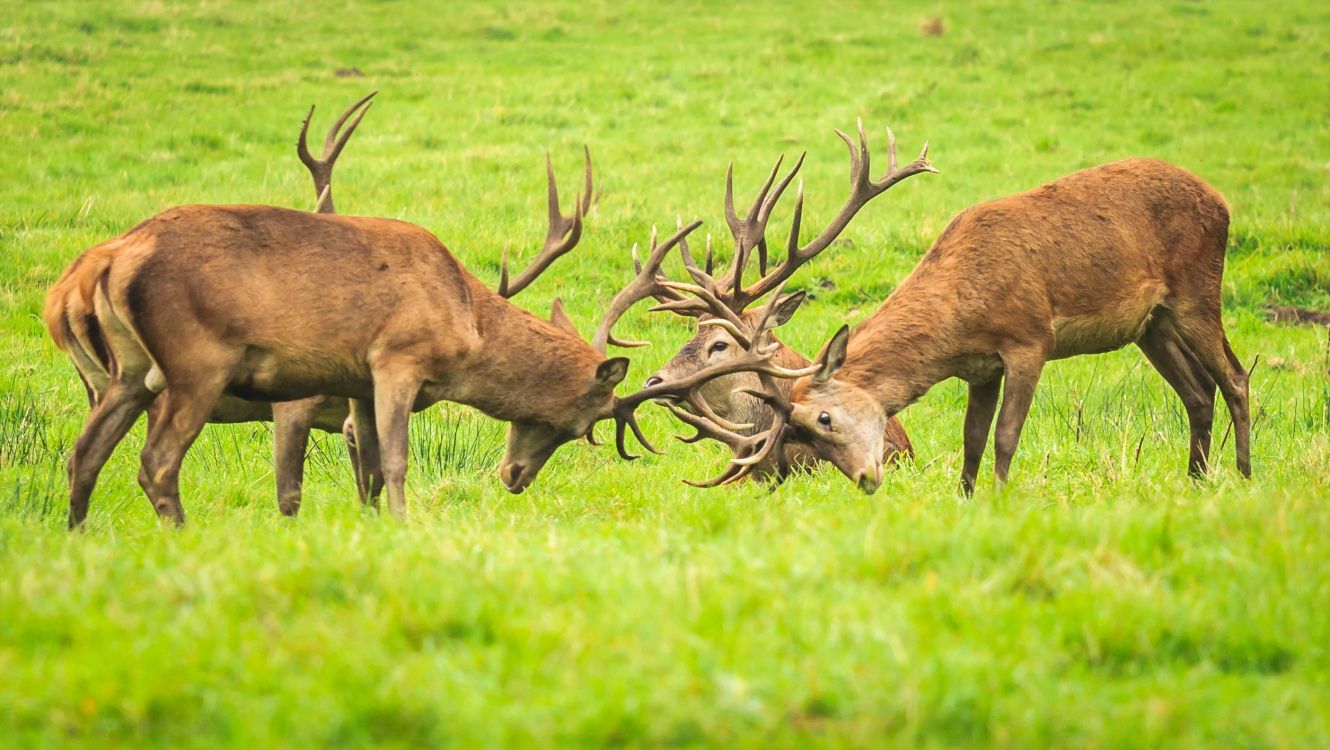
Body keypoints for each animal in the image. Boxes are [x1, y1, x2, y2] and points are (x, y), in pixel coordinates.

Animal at [680, 156, 1250, 494]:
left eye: (823, 419)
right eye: (807, 440)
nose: (865, 478)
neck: (961, 315)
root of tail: (1221, 200)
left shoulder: (1029, 339)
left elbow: (1005, 435)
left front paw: (1000, 498)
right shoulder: (980, 368)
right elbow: (971, 440)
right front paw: (966, 498)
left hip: (1198, 288)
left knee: (1235, 377)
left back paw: (1244, 474)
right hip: (1150, 325)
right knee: (1197, 391)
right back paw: (1196, 479)